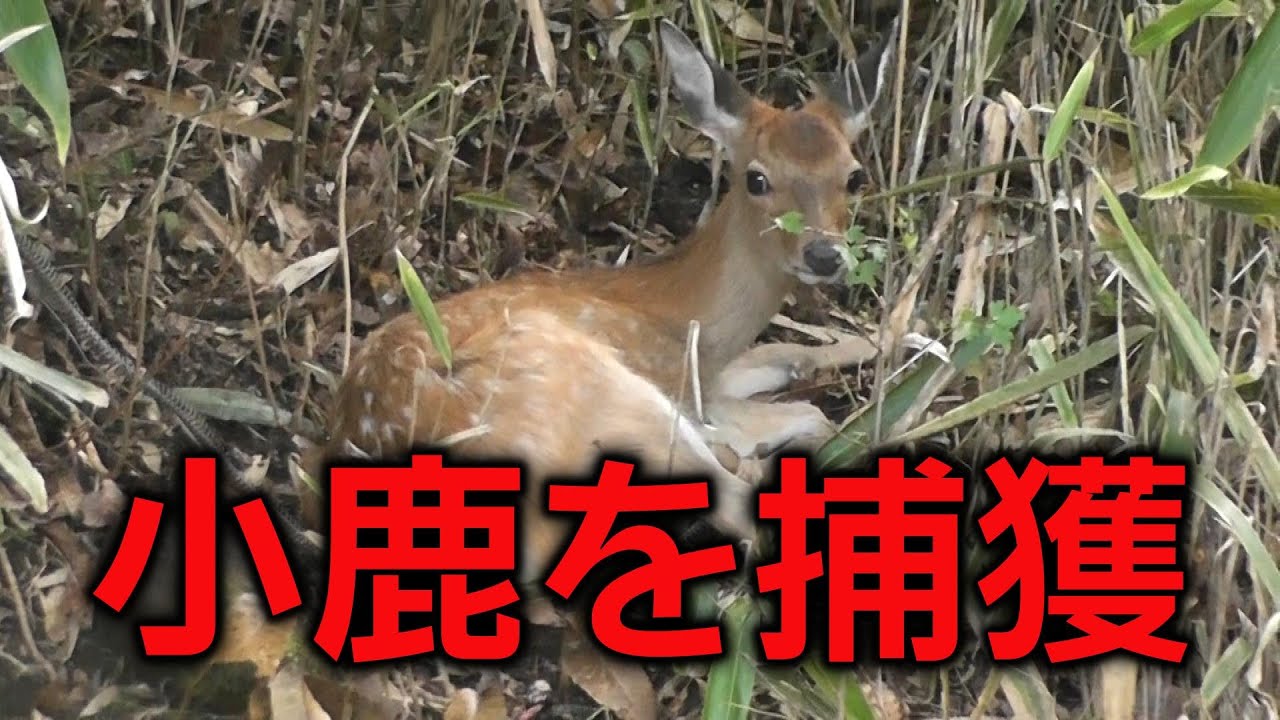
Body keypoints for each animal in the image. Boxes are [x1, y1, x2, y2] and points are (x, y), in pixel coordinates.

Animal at [306, 18, 899, 585]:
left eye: (855, 176)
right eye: (757, 178)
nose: (824, 254)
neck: (685, 313)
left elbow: (789, 356)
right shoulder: (680, 381)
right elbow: (796, 407)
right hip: (601, 391)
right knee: (738, 500)